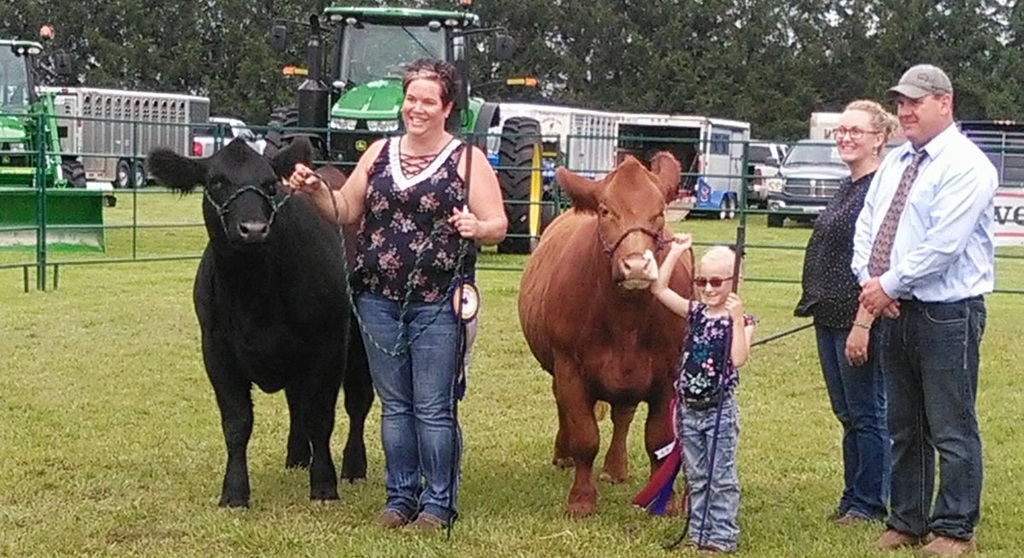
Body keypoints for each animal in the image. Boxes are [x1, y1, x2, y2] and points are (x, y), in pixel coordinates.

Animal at [147, 138, 373, 508]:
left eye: (269, 184)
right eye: (217, 182)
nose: (252, 229)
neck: (251, 294)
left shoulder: (327, 344)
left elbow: (320, 416)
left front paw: (324, 485)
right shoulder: (216, 350)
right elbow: (237, 423)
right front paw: (234, 492)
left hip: (359, 344)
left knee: (357, 403)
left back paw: (353, 466)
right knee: (296, 400)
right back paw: (297, 456)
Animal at [518, 153, 694, 517]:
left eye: (659, 212)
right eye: (604, 210)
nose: (637, 266)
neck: (625, 321)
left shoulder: (667, 373)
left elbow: (658, 438)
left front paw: (665, 502)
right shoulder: (569, 367)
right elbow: (585, 436)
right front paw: (581, 499)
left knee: (623, 415)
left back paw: (616, 468)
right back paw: (563, 454)